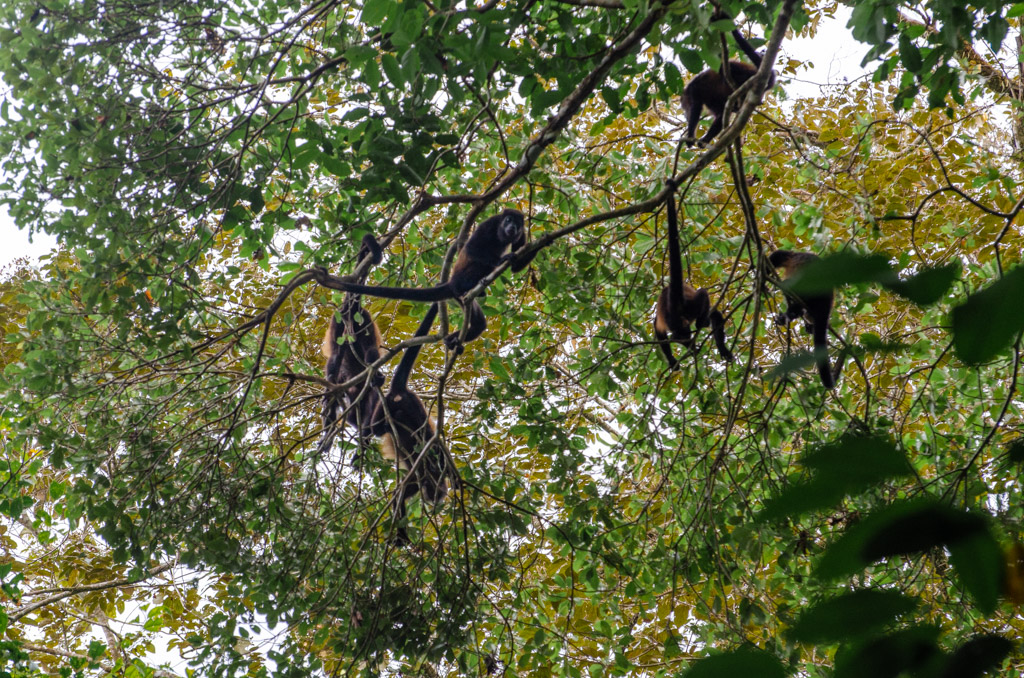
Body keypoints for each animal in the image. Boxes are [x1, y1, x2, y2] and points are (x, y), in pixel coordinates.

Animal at [332, 209, 534, 350]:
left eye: (518, 224)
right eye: (508, 220)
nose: (512, 227)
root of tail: (452, 283)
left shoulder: (522, 234)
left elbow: (516, 266)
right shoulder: (489, 224)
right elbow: (473, 249)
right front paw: (500, 260)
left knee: (478, 324)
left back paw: (452, 339)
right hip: (461, 285)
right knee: (477, 266)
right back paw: (478, 282)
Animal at [369, 302, 451, 544]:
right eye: (433, 492)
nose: (433, 499)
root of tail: (401, 392)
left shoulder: (415, 481)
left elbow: (399, 497)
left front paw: (401, 535)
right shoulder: (424, 472)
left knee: (378, 428)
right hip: (412, 404)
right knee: (415, 423)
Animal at [653, 180, 734, 368]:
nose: (685, 340)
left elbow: (658, 331)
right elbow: (715, 314)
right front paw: (721, 345)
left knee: (665, 332)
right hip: (692, 307)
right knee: (702, 295)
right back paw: (700, 325)